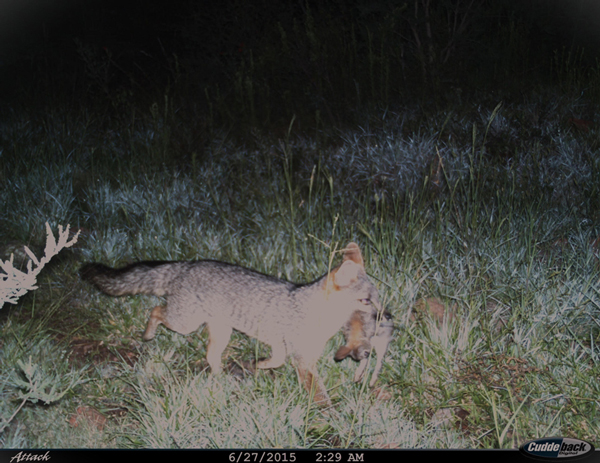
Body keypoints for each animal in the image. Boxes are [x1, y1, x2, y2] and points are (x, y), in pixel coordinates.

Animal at [79, 243, 382, 406]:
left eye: (376, 298)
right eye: (366, 301)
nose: (385, 316)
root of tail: (188, 264)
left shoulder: (286, 348)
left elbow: (276, 360)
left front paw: (259, 365)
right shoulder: (302, 360)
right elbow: (318, 392)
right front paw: (327, 412)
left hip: (219, 333)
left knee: (210, 356)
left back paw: (220, 378)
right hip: (184, 323)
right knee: (156, 310)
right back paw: (148, 334)